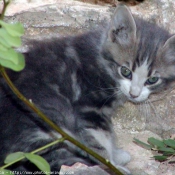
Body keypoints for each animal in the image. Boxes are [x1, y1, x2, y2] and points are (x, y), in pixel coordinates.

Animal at [0, 3, 175, 175]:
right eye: (125, 71)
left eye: (152, 80)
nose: (134, 94)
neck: (101, 60)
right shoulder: (89, 109)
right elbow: (100, 139)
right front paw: (110, 162)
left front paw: (115, 155)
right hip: (51, 119)